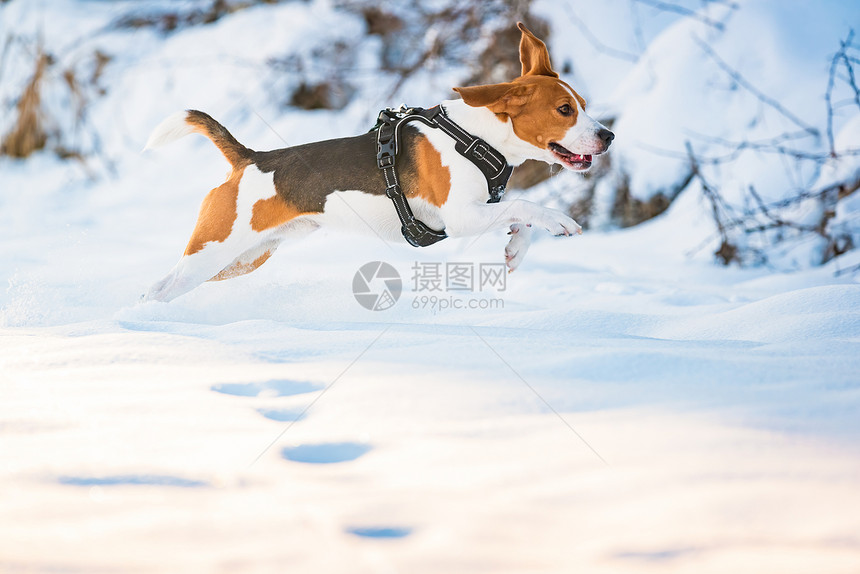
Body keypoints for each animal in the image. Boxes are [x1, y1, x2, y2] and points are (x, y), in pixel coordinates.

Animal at [143, 23, 612, 302]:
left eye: (583, 105)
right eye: (565, 110)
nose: (608, 137)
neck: (476, 138)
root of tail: (249, 158)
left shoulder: (483, 210)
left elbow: (518, 215)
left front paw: (516, 248)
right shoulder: (461, 217)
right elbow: (525, 204)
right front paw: (559, 220)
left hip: (241, 259)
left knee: (165, 286)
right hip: (214, 250)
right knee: (158, 289)